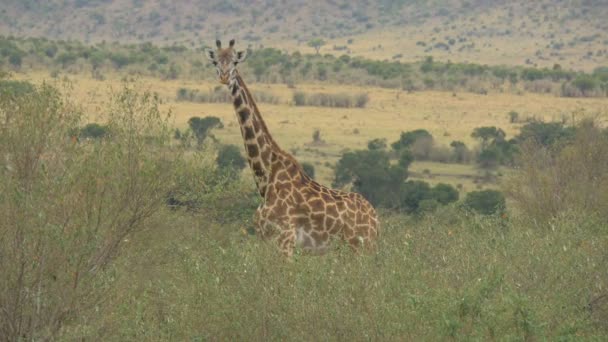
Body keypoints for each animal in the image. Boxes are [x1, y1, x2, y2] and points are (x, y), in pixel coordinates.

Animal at [207, 39, 378, 256]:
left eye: (235, 62)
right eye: (215, 62)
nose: (224, 77)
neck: (265, 179)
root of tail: (376, 220)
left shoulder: (285, 239)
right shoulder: (264, 238)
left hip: (360, 247)